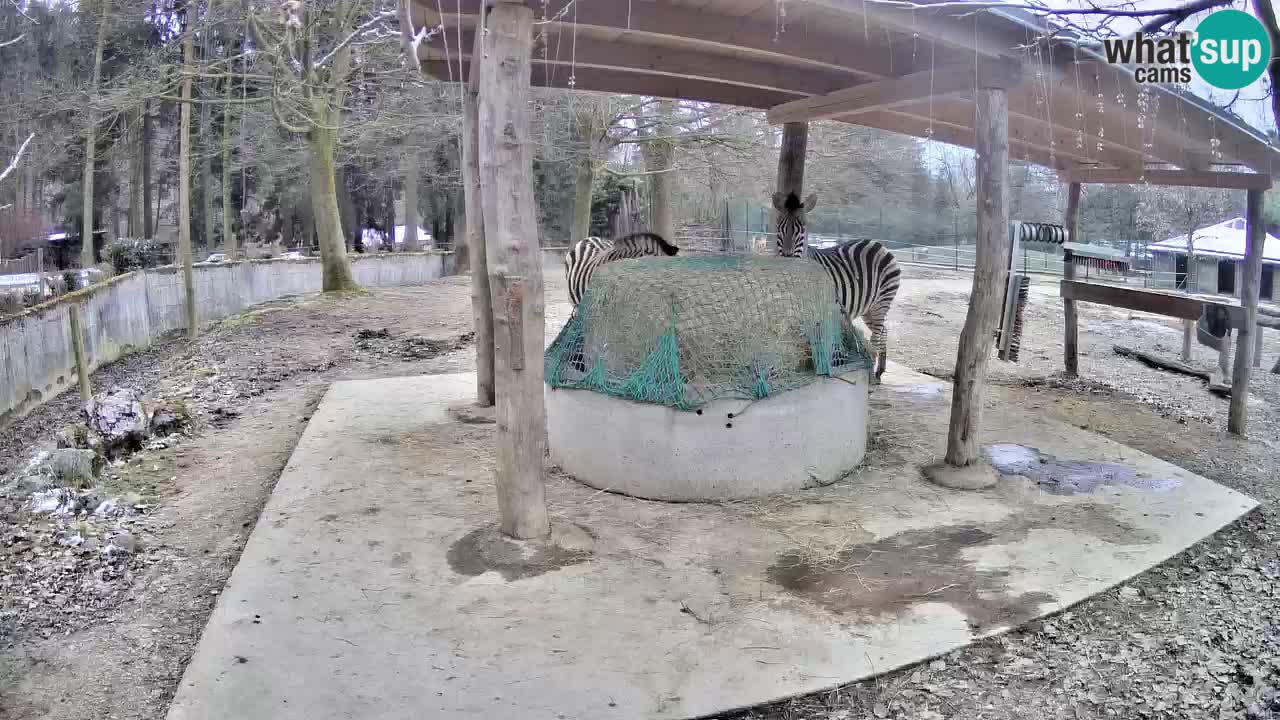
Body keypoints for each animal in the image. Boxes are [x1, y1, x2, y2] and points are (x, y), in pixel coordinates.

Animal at [768, 190, 901, 381]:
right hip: (869, 307)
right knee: (884, 331)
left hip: (881, 302)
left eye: (802, 230)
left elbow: (824, 340)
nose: (787, 261)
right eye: (779, 228)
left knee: (877, 335)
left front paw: (828, 367)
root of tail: (878, 244)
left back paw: (872, 372)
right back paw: (879, 372)